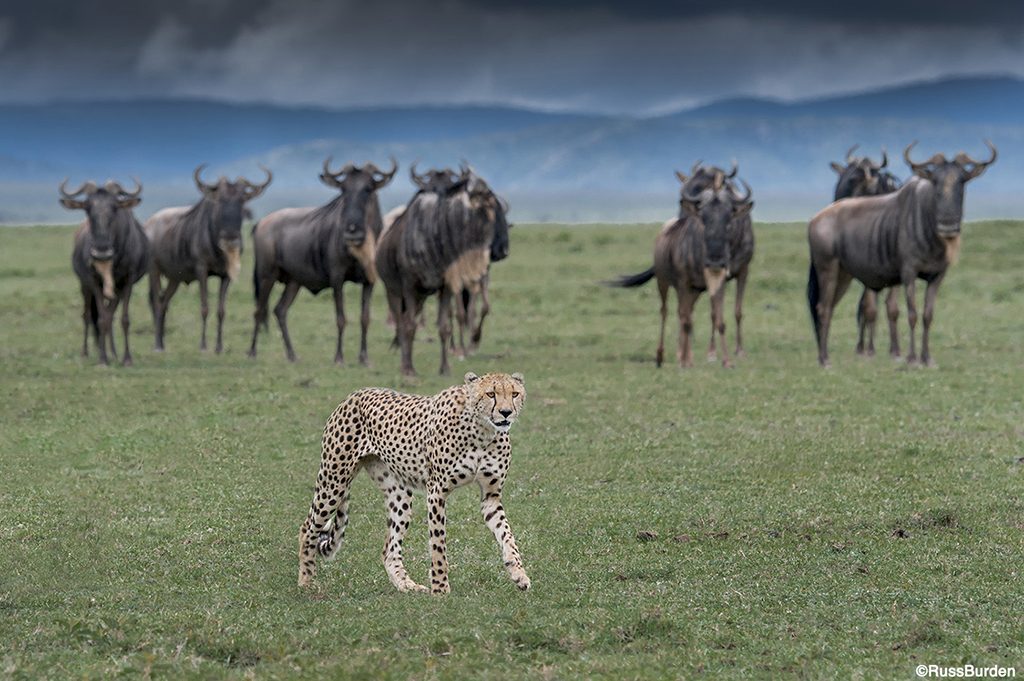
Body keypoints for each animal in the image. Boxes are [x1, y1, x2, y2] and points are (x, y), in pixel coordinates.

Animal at [296, 368, 532, 593]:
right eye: (491, 394)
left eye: (514, 394)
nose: (506, 413)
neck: (483, 431)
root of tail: (355, 393)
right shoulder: (436, 490)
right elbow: (438, 545)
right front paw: (440, 590)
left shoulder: (490, 496)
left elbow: (507, 535)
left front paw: (519, 574)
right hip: (333, 482)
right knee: (307, 528)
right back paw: (306, 581)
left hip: (398, 495)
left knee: (389, 549)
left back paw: (407, 586)